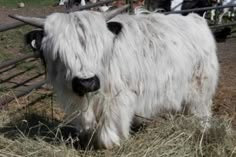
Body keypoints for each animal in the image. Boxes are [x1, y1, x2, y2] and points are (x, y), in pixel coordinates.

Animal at [10, 6, 219, 149]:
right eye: (59, 53)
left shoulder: (118, 101)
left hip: (200, 90)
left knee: (202, 113)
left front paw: (111, 143)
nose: (86, 82)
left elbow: (109, 131)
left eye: (101, 47)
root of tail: (196, 19)